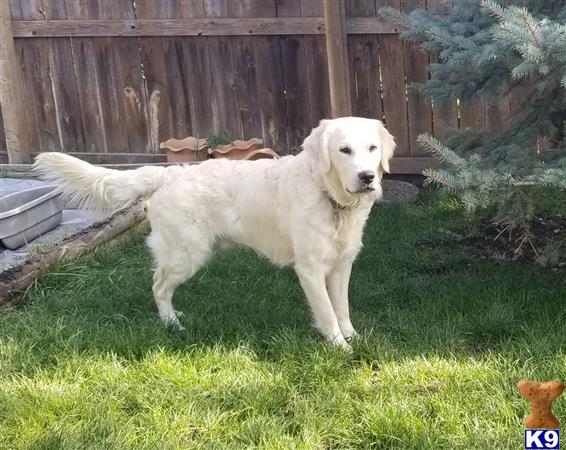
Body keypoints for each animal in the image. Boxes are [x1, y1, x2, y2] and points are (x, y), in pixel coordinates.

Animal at [34, 116, 394, 348]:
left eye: (372, 148)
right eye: (344, 150)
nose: (366, 177)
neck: (330, 197)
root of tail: (169, 174)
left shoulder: (342, 264)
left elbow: (341, 307)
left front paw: (352, 336)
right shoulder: (309, 268)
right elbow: (327, 312)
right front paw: (339, 346)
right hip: (187, 254)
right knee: (158, 287)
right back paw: (171, 323)